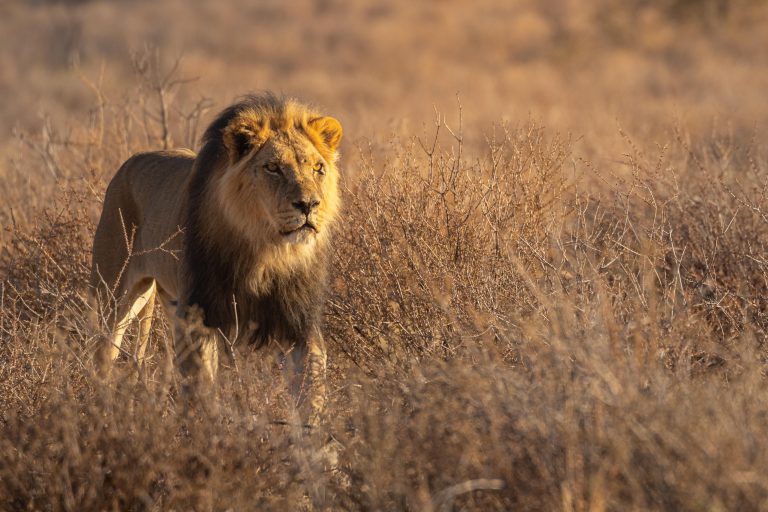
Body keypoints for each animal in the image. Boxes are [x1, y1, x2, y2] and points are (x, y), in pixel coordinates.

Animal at [91, 93, 342, 423]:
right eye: (273, 167)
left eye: (318, 168)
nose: (309, 204)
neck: (266, 251)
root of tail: (130, 161)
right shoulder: (198, 316)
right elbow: (201, 390)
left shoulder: (297, 321)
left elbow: (312, 392)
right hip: (114, 294)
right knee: (104, 354)